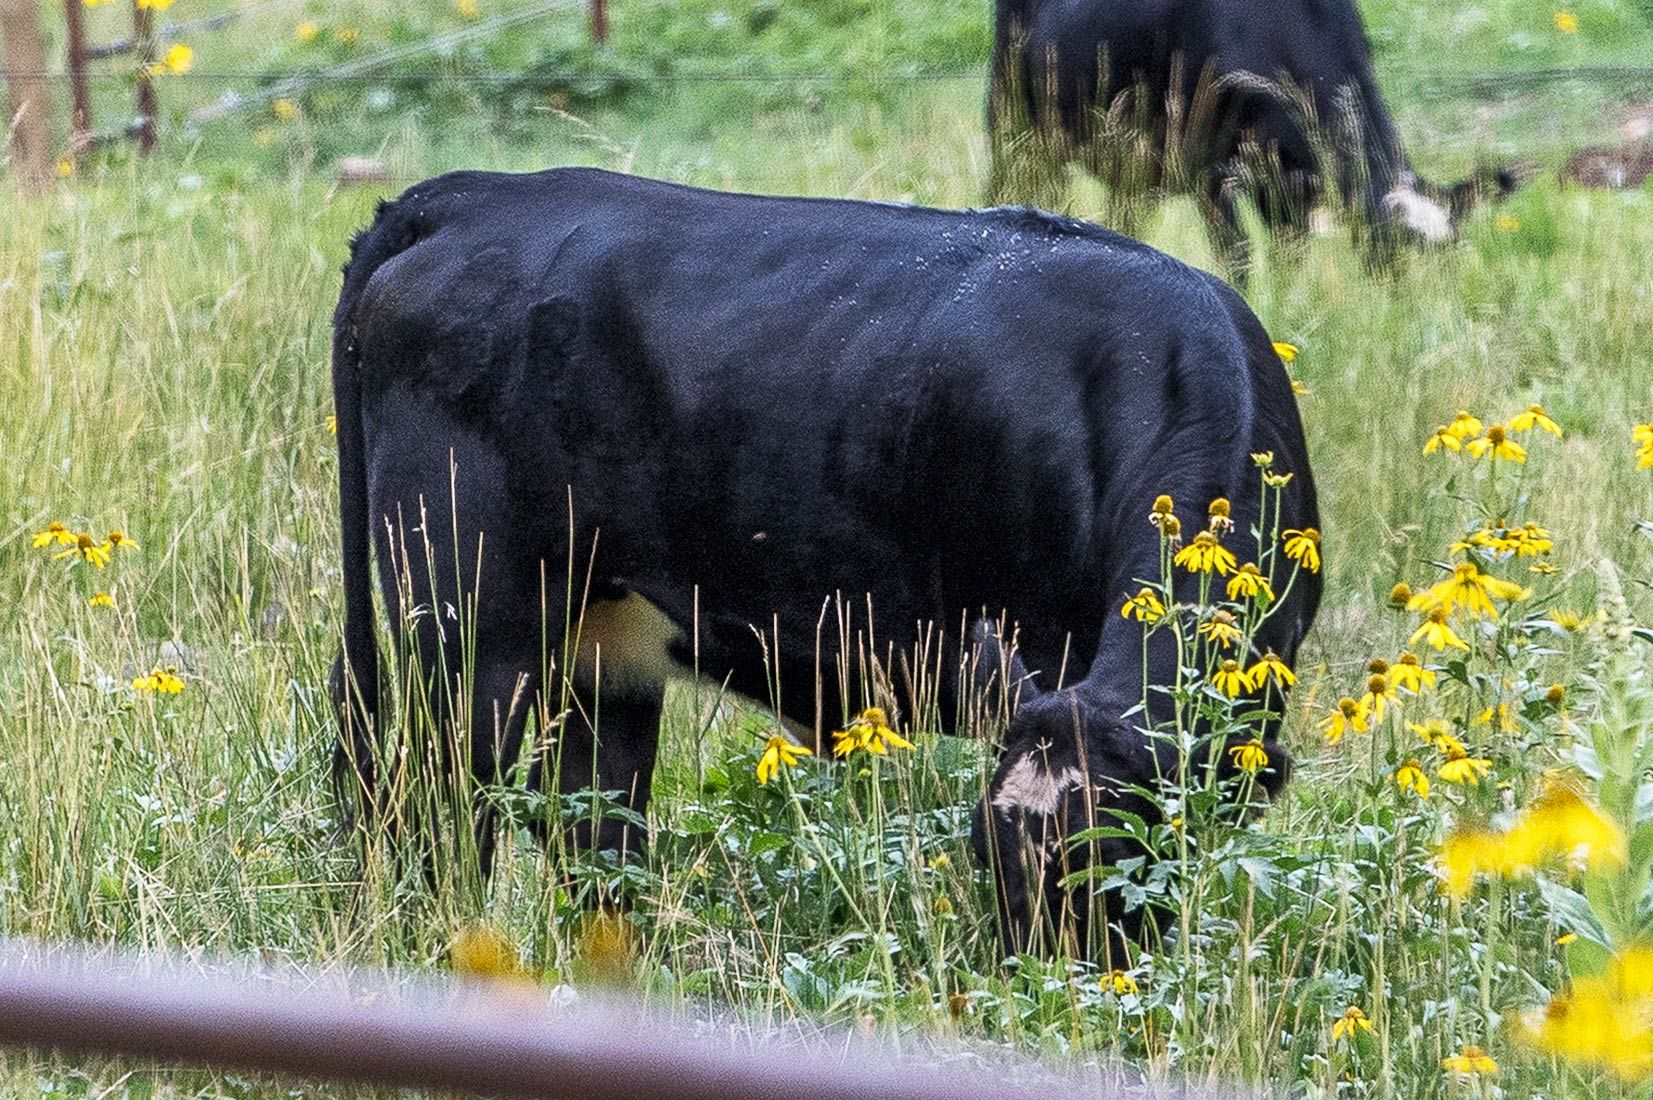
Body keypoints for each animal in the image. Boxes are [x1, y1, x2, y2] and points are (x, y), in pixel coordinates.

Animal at [328, 167, 1321, 960]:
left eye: (1117, 857)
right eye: (984, 852)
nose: (1039, 990)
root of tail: (476, 192)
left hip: (598, 651)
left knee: (594, 834)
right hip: (469, 625)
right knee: (436, 798)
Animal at [988, 0, 1518, 277]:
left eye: (1451, 254)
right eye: (1387, 249)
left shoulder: (1286, 183)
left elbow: (1289, 255)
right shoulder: (1206, 170)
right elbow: (1238, 256)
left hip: (1134, 166)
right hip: (1014, 120)